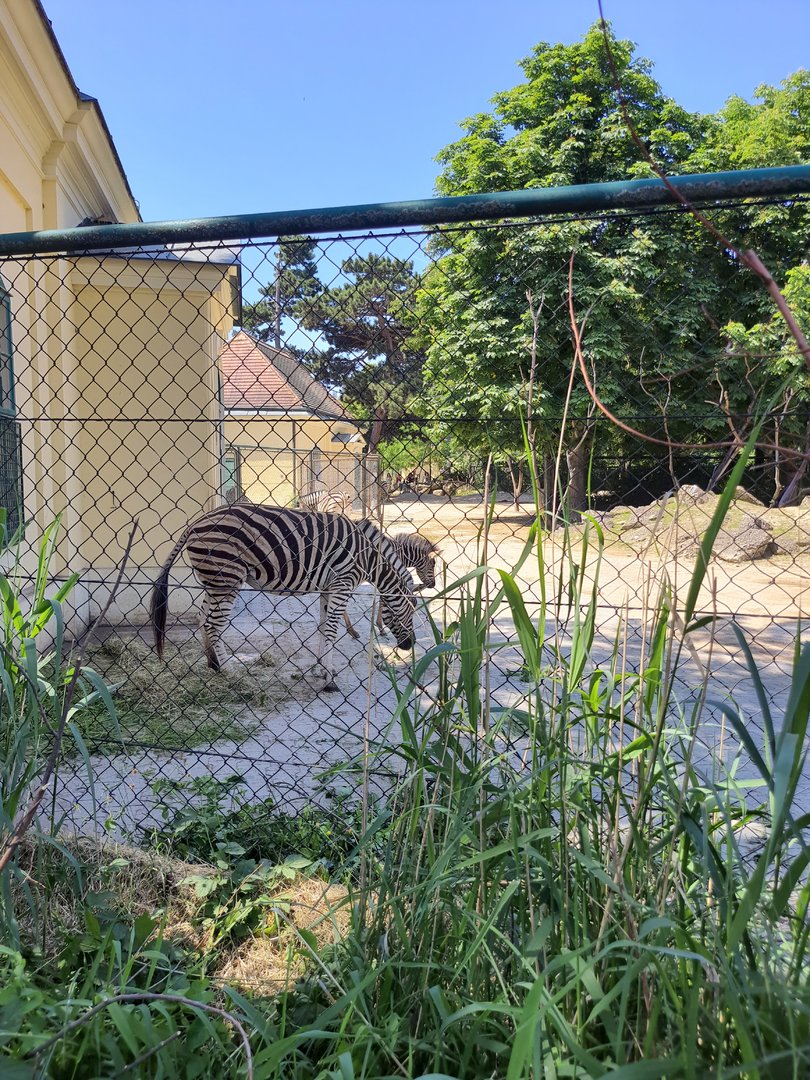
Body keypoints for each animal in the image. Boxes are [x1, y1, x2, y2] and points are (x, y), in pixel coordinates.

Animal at [149, 504, 416, 691]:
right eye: (412, 611)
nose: (410, 645)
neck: (369, 557)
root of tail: (195, 522)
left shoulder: (328, 587)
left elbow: (323, 627)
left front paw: (322, 669)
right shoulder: (343, 582)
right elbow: (331, 629)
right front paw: (329, 680)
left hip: (215, 581)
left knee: (202, 617)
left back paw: (213, 663)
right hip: (227, 578)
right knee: (214, 623)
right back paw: (228, 671)